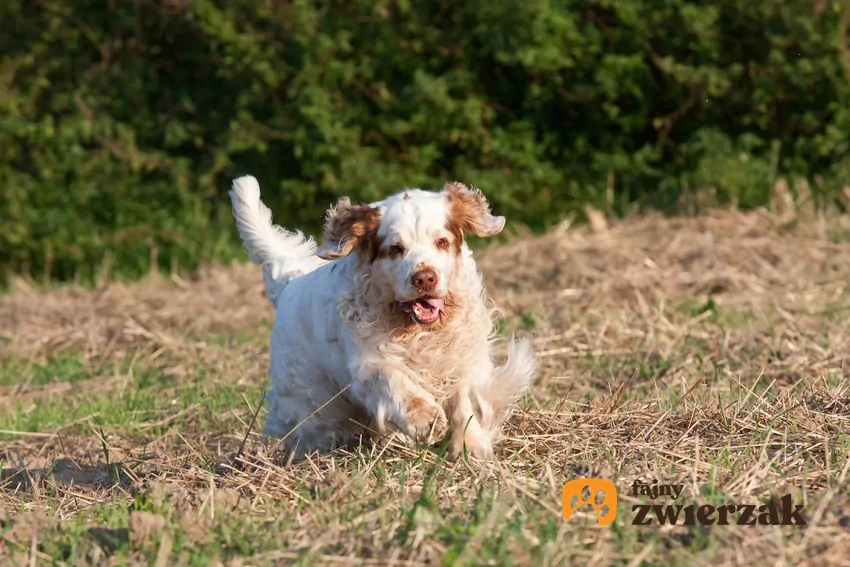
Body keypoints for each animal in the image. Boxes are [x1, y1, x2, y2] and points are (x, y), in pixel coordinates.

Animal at [229, 175, 532, 460]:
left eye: (442, 242)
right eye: (396, 248)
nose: (425, 278)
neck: (417, 330)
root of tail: (289, 283)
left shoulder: (461, 357)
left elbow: (463, 400)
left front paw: (470, 447)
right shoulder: (366, 364)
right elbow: (391, 379)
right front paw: (425, 419)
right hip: (311, 402)